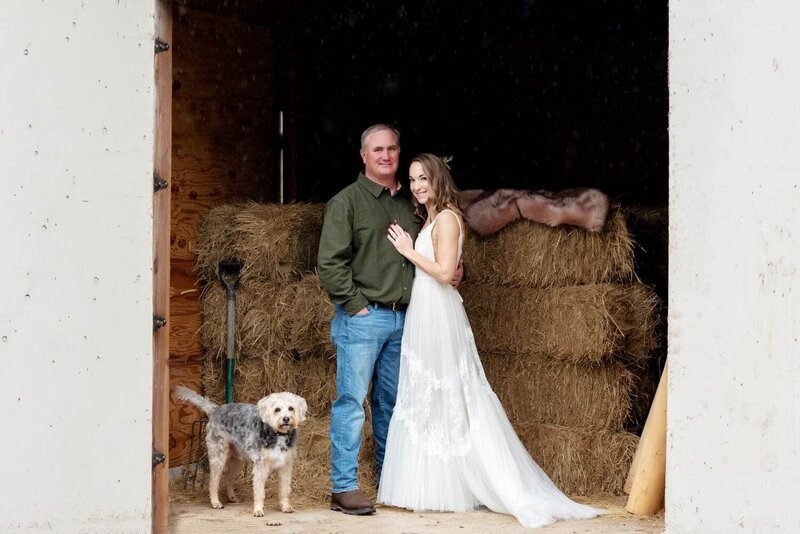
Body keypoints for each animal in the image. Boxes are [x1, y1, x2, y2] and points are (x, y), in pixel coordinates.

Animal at [173, 388, 308, 516]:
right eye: (277, 409)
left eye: (291, 408)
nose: (286, 419)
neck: (277, 434)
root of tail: (215, 409)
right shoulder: (260, 466)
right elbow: (259, 491)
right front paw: (258, 510)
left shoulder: (286, 466)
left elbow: (284, 489)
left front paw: (285, 507)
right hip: (218, 458)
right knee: (213, 482)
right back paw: (215, 502)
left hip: (237, 462)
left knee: (228, 480)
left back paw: (232, 497)